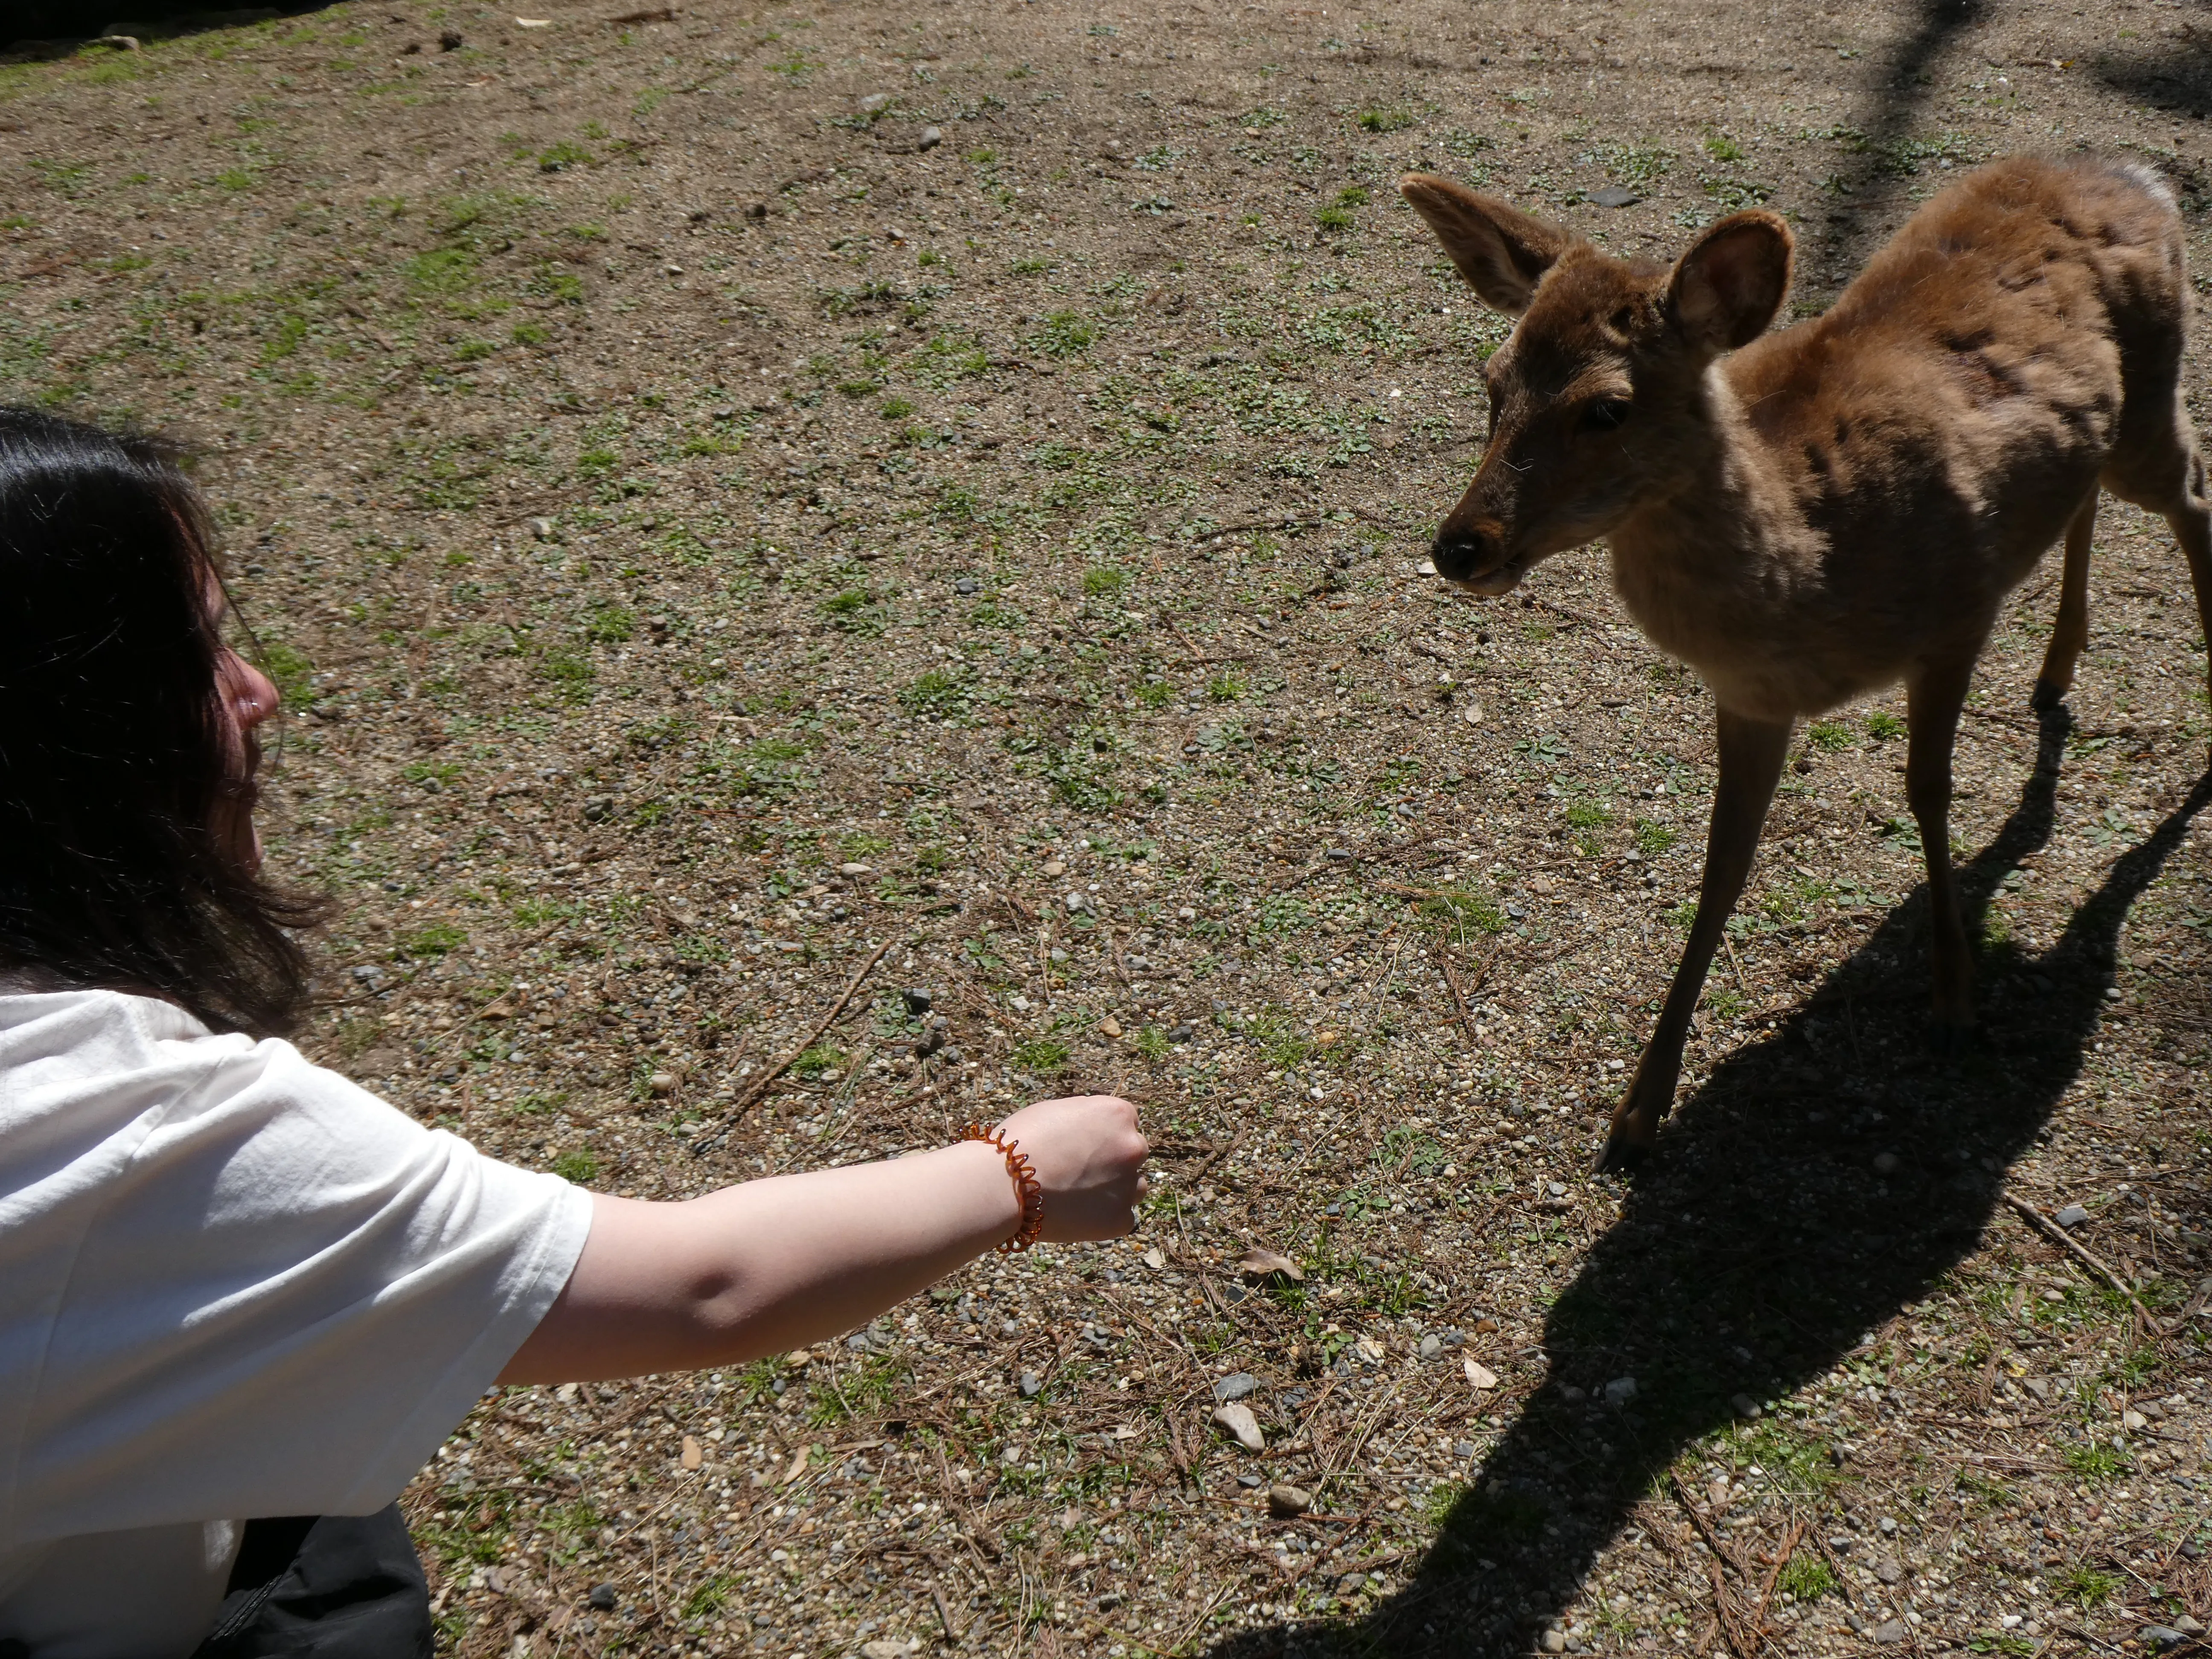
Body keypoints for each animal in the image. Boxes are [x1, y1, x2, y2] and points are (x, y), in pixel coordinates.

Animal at [1396, 157, 2212, 1173]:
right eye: (1491, 384)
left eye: (1607, 408)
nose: (1460, 546)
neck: (1812, 566)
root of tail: (2134, 173)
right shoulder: (1751, 699)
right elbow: (1721, 862)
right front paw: (1638, 1110)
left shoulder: (1956, 612)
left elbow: (1927, 792)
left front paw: (1954, 999)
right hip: (2102, 432)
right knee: (2088, 497)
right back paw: (2055, 673)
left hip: (2155, 393)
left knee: (2193, 496)